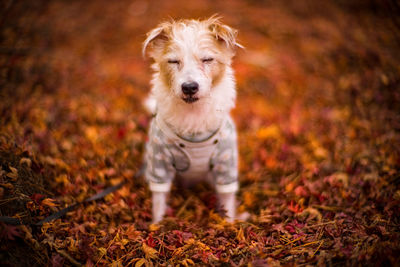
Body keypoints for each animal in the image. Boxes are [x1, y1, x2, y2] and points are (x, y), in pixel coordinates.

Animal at [144, 15, 244, 224]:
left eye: (207, 59)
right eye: (173, 61)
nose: (189, 87)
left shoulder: (226, 165)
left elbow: (227, 199)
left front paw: (230, 225)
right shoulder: (159, 164)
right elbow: (159, 200)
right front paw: (157, 225)